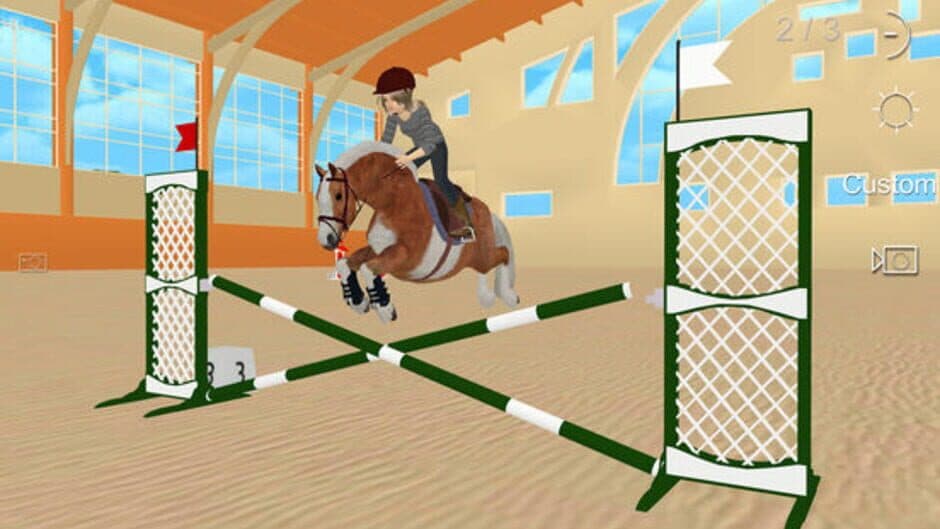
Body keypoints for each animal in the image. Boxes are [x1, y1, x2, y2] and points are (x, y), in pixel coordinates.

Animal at [315, 141, 518, 323]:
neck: (392, 201)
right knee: (490, 264)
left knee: (504, 253)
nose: (326, 240)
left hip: (483, 256)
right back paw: (488, 296)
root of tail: (488, 212)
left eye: (338, 196)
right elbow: (345, 263)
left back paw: (509, 296)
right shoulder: (378, 248)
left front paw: (385, 309)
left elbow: (368, 268)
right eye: (317, 197)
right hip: (478, 260)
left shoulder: (407, 255)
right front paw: (358, 301)